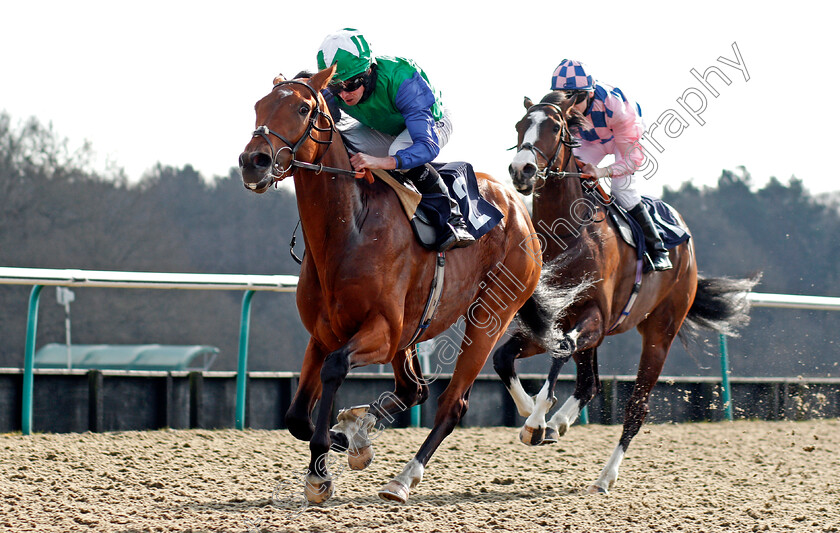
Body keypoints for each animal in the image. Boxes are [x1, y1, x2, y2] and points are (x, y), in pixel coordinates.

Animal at [241, 66, 544, 502]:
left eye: (302, 108)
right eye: (258, 105)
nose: (253, 161)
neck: (349, 229)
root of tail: (520, 210)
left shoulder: (381, 332)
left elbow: (334, 369)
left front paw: (321, 470)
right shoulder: (323, 333)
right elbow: (297, 416)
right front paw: (348, 438)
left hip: (490, 315)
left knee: (452, 404)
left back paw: (403, 479)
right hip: (412, 331)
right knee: (412, 390)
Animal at [496, 92, 756, 494]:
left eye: (554, 126)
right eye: (519, 125)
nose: (521, 170)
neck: (568, 233)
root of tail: (686, 240)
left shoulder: (595, 319)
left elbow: (562, 350)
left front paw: (536, 422)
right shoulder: (553, 319)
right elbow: (503, 357)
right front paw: (531, 414)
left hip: (660, 332)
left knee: (636, 407)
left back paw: (604, 476)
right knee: (589, 383)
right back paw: (559, 424)